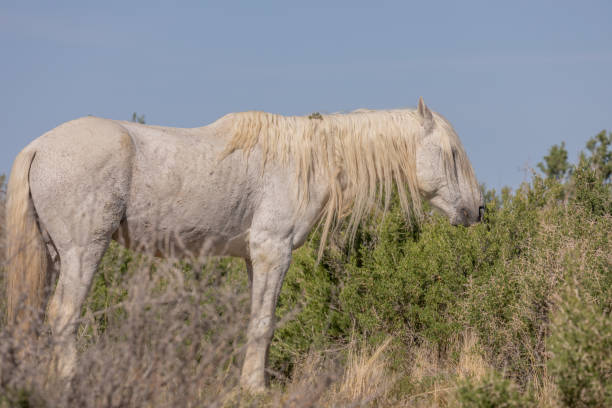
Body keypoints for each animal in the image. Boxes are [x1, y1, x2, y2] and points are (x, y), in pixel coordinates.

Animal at [4, 97, 482, 390]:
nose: (477, 210)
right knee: (64, 315)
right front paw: (255, 386)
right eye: (452, 154)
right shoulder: (274, 251)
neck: (307, 160)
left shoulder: (255, 258)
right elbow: (263, 323)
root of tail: (39, 147)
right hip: (82, 252)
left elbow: (255, 321)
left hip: (51, 256)